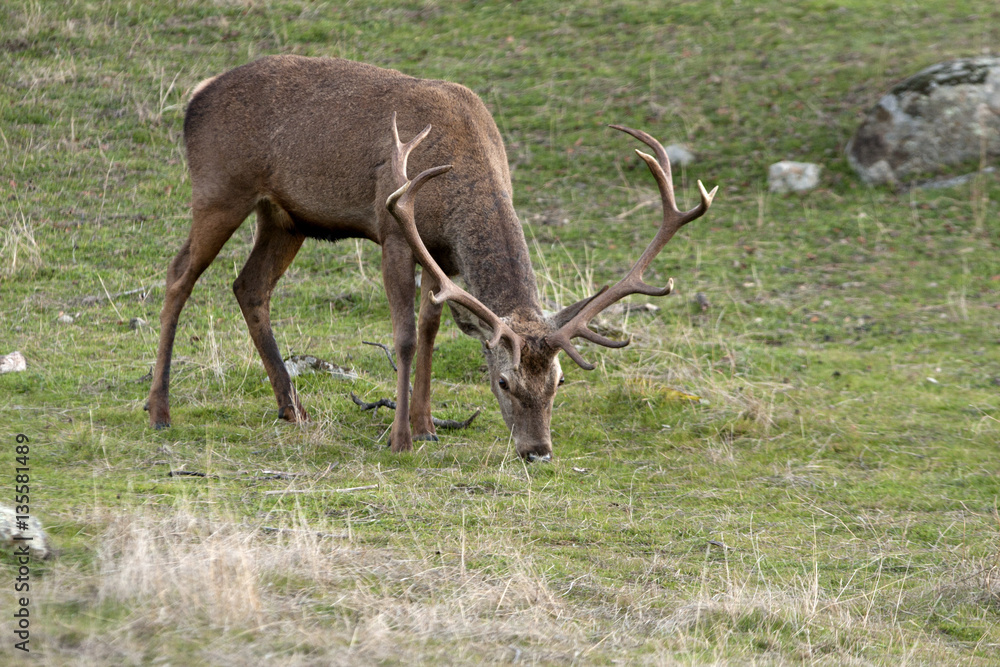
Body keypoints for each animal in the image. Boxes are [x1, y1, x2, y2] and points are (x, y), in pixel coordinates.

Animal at [146, 55, 716, 461]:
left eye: (558, 381)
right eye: (503, 382)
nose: (538, 452)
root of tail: (196, 96)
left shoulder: (444, 256)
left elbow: (430, 329)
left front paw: (425, 427)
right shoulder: (394, 229)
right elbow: (402, 336)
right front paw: (398, 437)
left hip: (285, 219)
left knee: (249, 286)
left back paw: (293, 409)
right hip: (220, 188)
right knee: (178, 276)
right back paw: (159, 409)